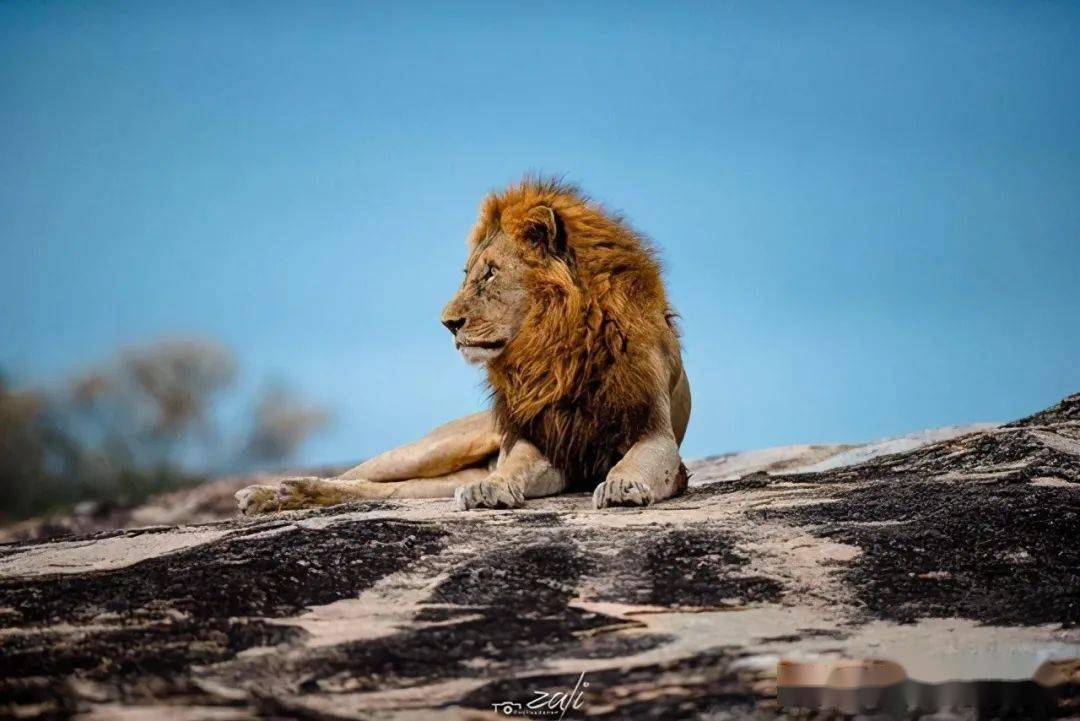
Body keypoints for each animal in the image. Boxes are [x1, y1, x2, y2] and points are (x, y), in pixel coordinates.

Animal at [236, 177, 691, 515]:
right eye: (469, 273)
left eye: (490, 273)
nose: (447, 323)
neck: (558, 344)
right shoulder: (542, 441)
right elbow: (513, 466)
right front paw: (491, 488)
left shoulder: (654, 432)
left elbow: (637, 459)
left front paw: (622, 483)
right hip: (435, 447)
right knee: (358, 474)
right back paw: (267, 494)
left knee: (382, 489)